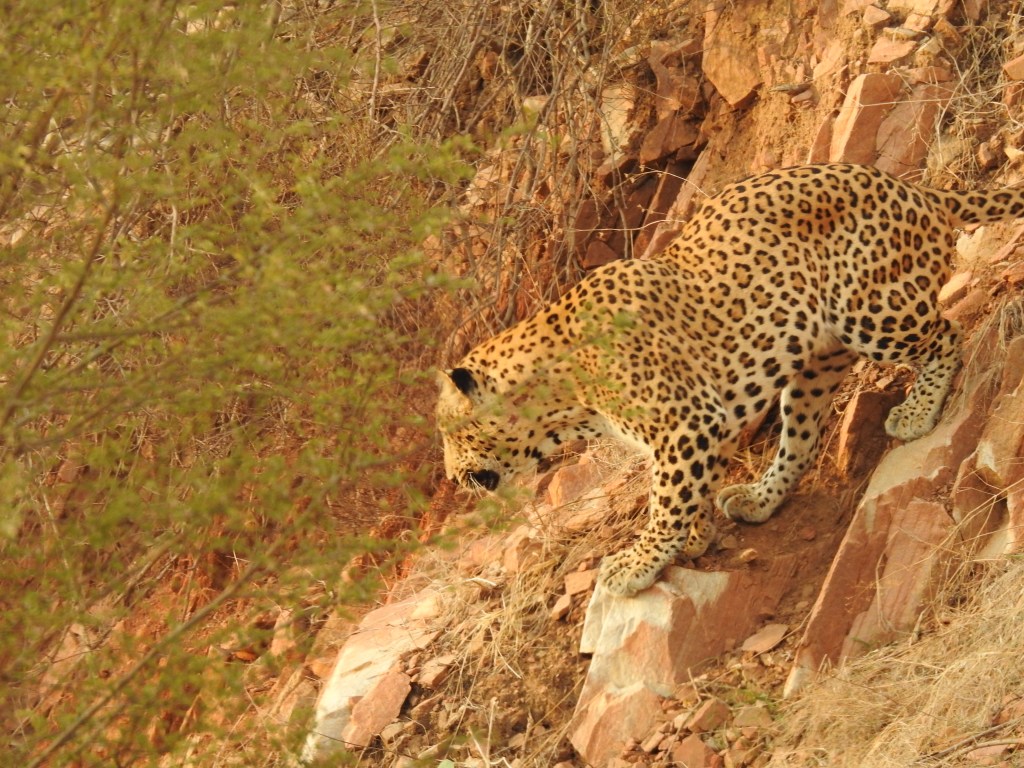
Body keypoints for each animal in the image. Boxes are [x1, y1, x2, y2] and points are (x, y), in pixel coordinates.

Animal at [435, 163, 1024, 597]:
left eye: (451, 433)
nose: (451, 478)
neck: (566, 397)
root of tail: (916, 189)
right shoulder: (699, 429)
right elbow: (685, 491)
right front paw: (693, 539)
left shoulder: (686, 422)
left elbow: (665, 499)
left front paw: (638, 563)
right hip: (816, 360)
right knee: (801, 439)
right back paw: (758, 498)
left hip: (871, 309)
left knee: (946, 334)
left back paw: (918, 412)